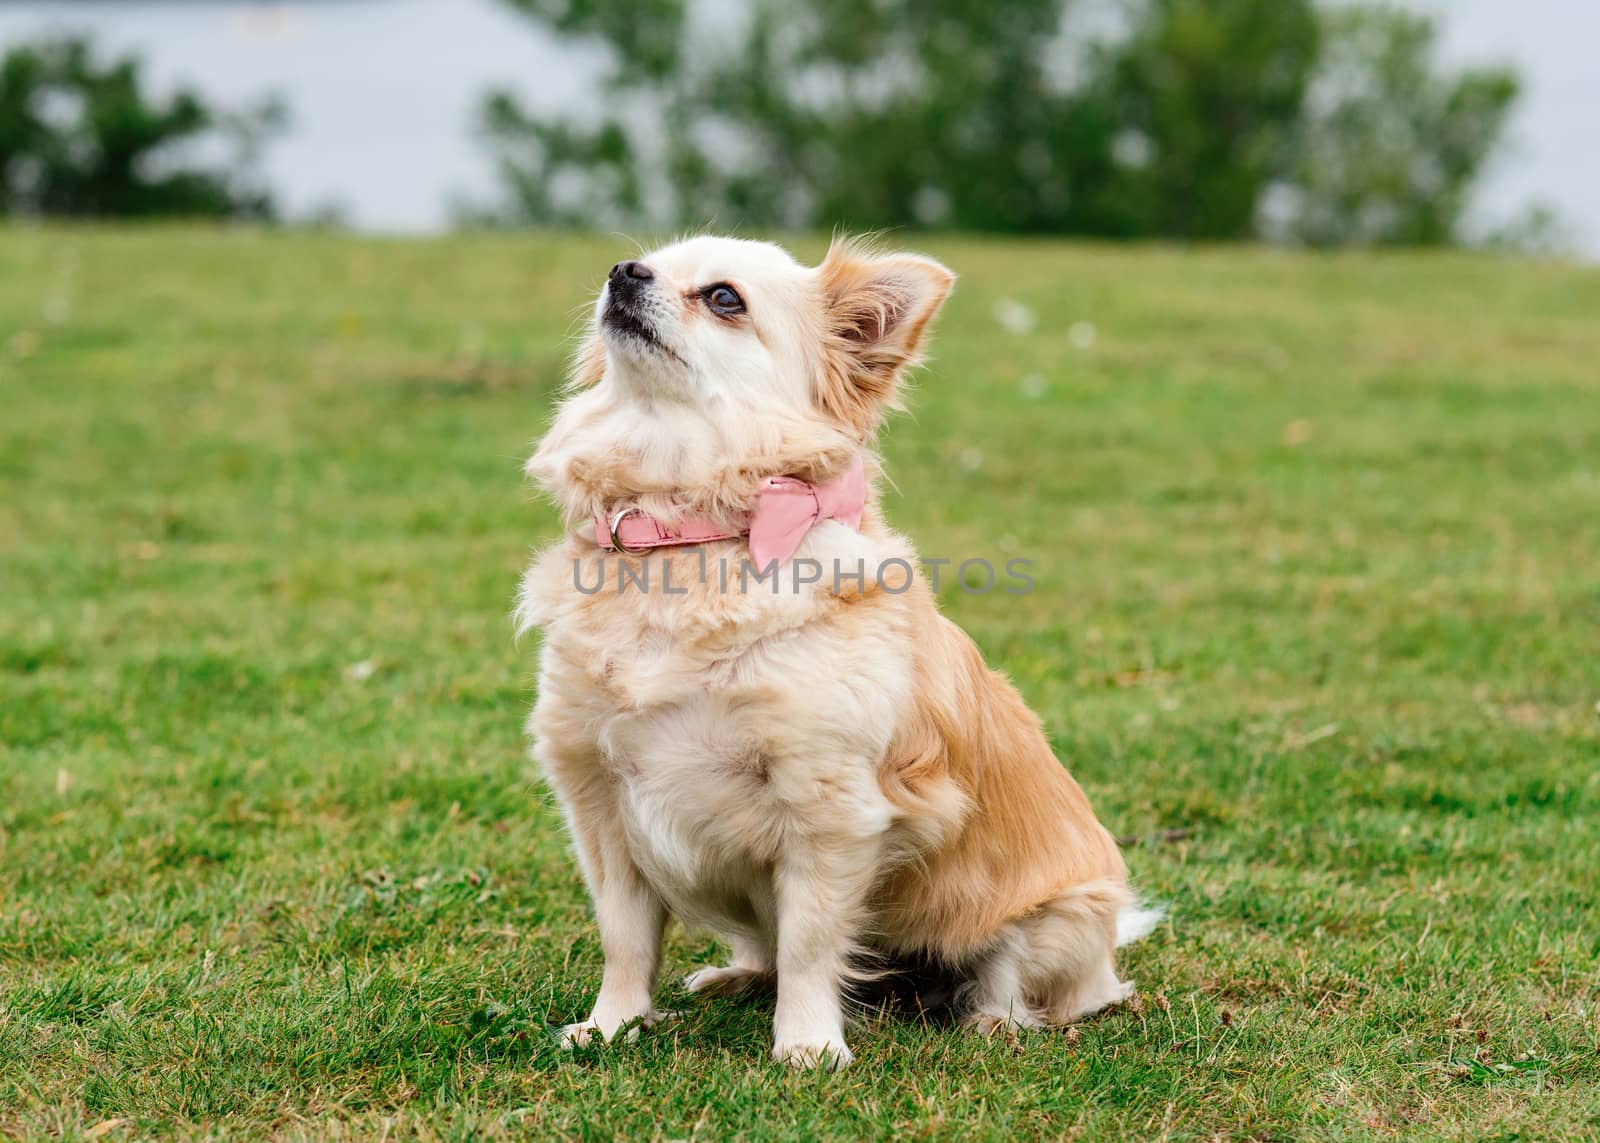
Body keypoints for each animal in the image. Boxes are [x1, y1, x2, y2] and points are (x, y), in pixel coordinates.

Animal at [518, 235, 1158, 1062]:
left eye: (723, 298)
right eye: (644, 261)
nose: (624, 272)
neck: (685, 536)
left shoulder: (827, 809)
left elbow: (809, 943)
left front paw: (807, 1045)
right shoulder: (599, 802)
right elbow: (626, 937)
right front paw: (612, 1024)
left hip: (1057, 918)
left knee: (1020, 981)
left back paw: (989, 1017)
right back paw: (736, 975)